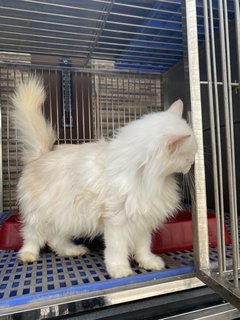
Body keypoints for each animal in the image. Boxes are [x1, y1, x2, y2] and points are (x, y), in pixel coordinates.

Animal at [11, 76, 197, 278]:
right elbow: (117, 250)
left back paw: (72, 250)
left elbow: (143, 247)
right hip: (38, 215)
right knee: (31, 236)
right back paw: (28, 255)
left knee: (55, 239)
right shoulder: (116, 221)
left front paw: (149, 263)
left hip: (66, 216)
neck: (148, 177)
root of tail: (40, 155)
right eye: (188, 157)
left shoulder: (142, 220)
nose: (193, 164)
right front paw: (121, 271)